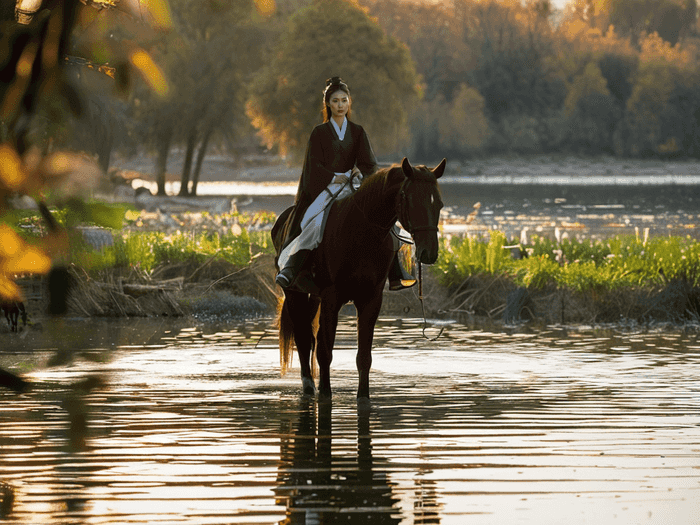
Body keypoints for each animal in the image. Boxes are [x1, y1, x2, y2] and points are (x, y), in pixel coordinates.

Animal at [270, 158, 446, 400]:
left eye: (439, 204)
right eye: (411, 201)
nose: (429, 253)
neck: (362, 232)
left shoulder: (370, 300)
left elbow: (364, 357)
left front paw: (363, 396)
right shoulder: (332, 298)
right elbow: (325, 353)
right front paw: (325, 395)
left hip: (314, 296)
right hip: (295, 292)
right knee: (304, 339)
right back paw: (309, 387)